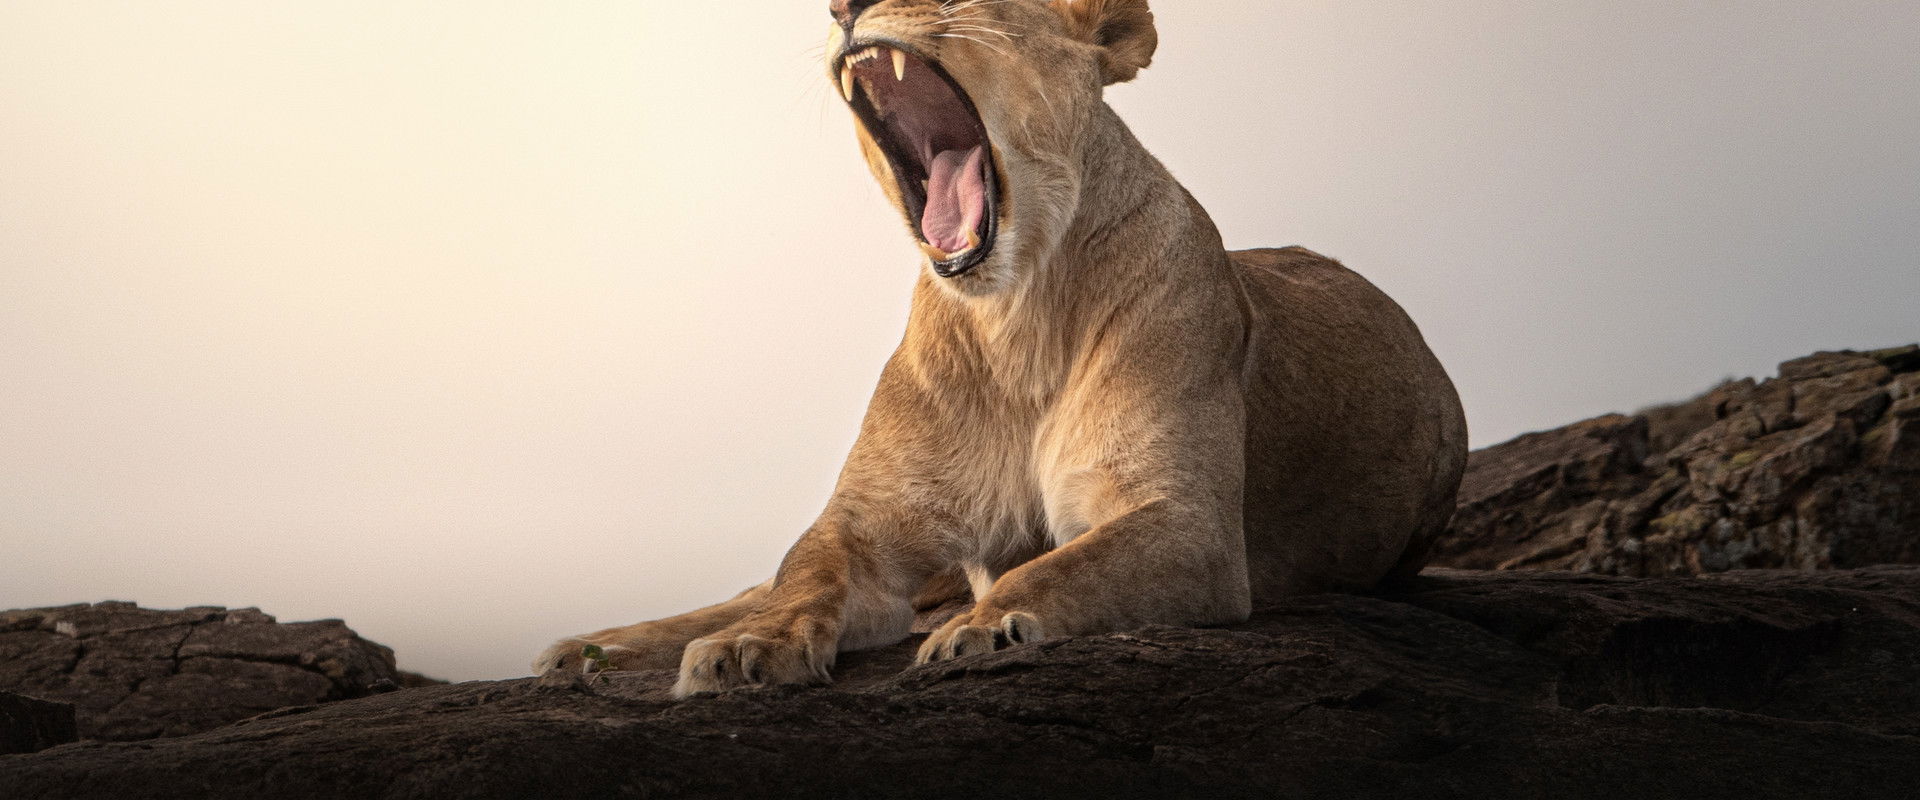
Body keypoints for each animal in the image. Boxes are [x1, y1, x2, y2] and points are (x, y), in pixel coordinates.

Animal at [534, 0, 1467, 697]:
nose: (841, 7)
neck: (1013, 318)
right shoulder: (866, 527)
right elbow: (802, 574)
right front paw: (746, 648)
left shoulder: (1187, 523)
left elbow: (1058, 569)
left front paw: (981, 630)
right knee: (743, 588)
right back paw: (591, 650)